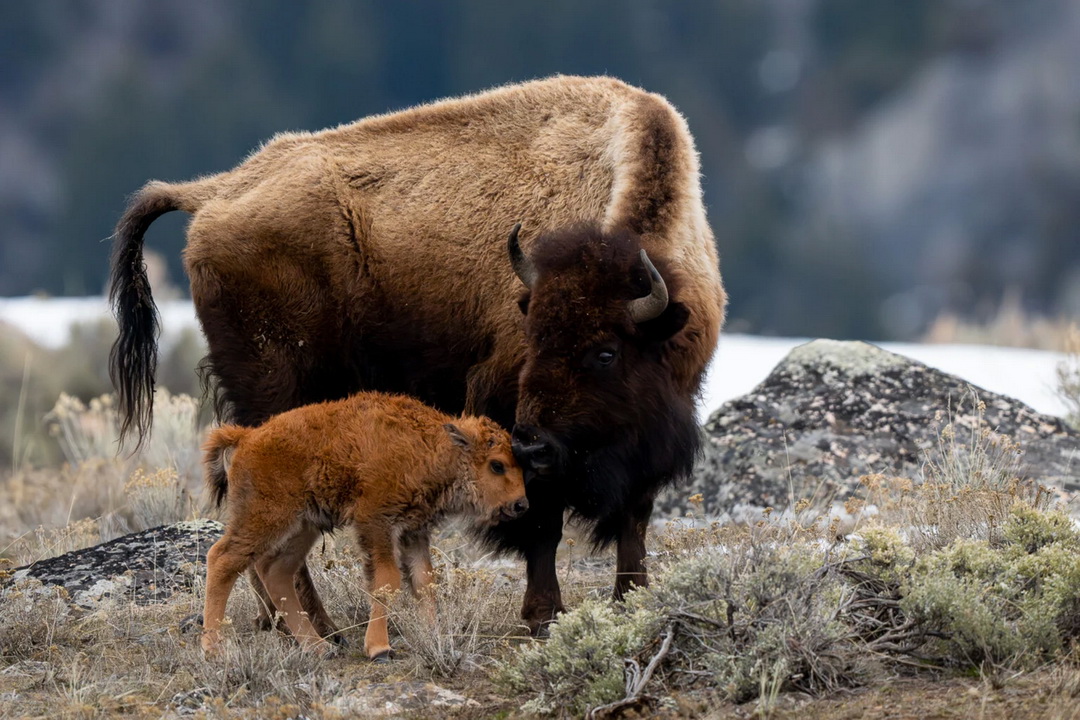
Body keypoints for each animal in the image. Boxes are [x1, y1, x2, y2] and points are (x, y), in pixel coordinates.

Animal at [201, 390, 527, 660]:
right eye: (497, 465)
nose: (521, 505)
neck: (432, 447)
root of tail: (247, 438)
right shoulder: (376, 523)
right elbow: (387, 580)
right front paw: (379, 649)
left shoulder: (414, 531)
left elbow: (424, 581)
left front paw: (433, 635)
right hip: (266, 517)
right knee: (223, 559)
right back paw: (214, 648)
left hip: (303, 527)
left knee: (276, 571)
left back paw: (318, 648)